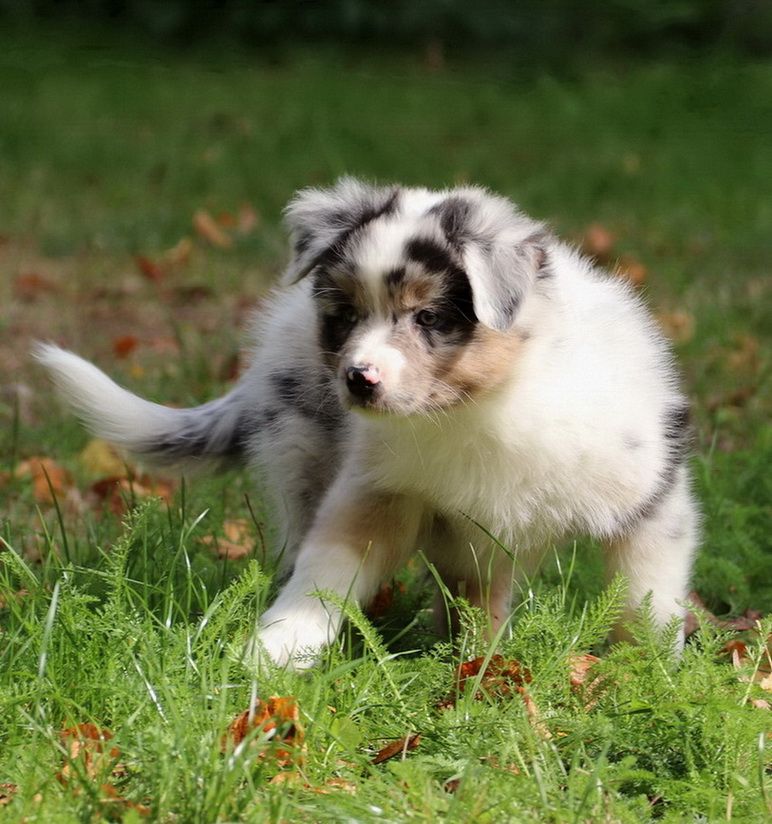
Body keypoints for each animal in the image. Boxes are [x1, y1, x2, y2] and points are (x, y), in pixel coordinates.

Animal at [36, 178, 699, 667]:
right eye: (347, 314)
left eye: (429, 317)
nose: (358, 378)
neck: (479, 407)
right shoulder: (380, 490)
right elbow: (325, 572)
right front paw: (272, 653)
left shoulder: (651, 499)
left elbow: (643, 600)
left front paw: (650, 677)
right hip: (306, 459)